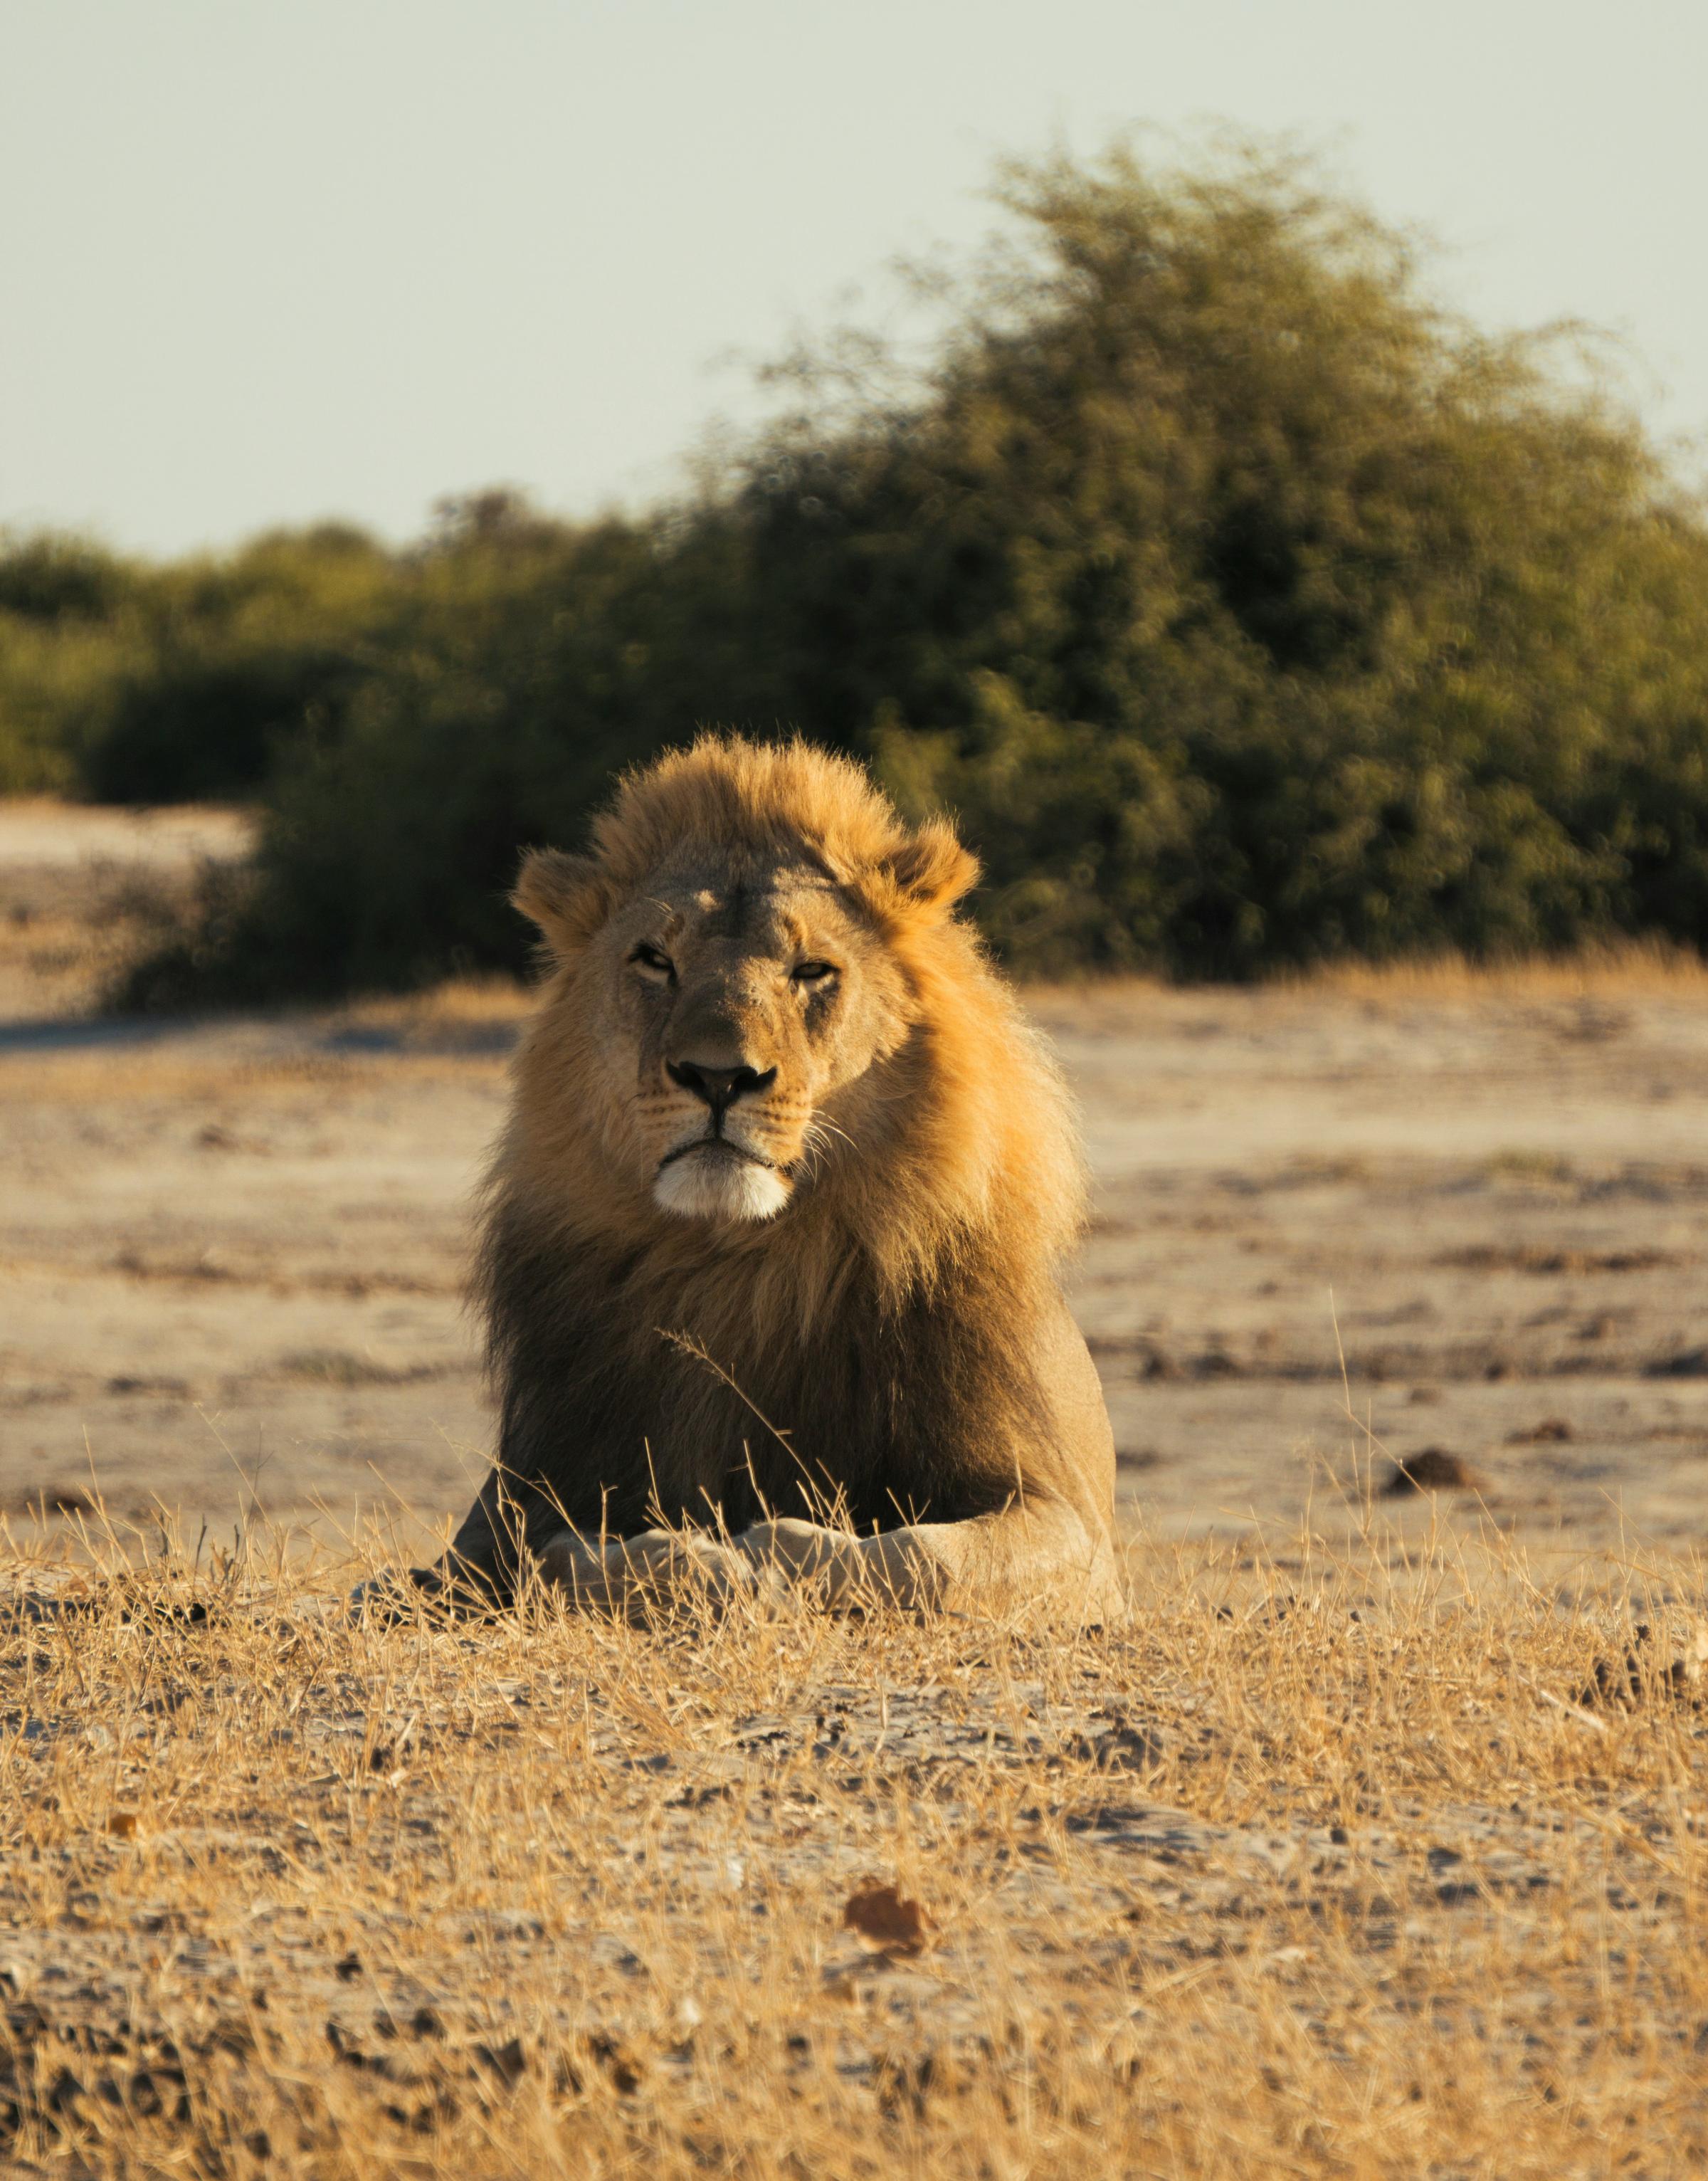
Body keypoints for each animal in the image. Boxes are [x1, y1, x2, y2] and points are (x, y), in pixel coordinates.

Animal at [400, 734, 1122, 1622]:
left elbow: (924, 1557)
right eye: (656, 961)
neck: (742, 1264)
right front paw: (682, 1564)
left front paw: (763, 1557)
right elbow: (527, 1560)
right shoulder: (516, 1496)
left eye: (811, 971)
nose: (718, 1075)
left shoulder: (1070, 1523)